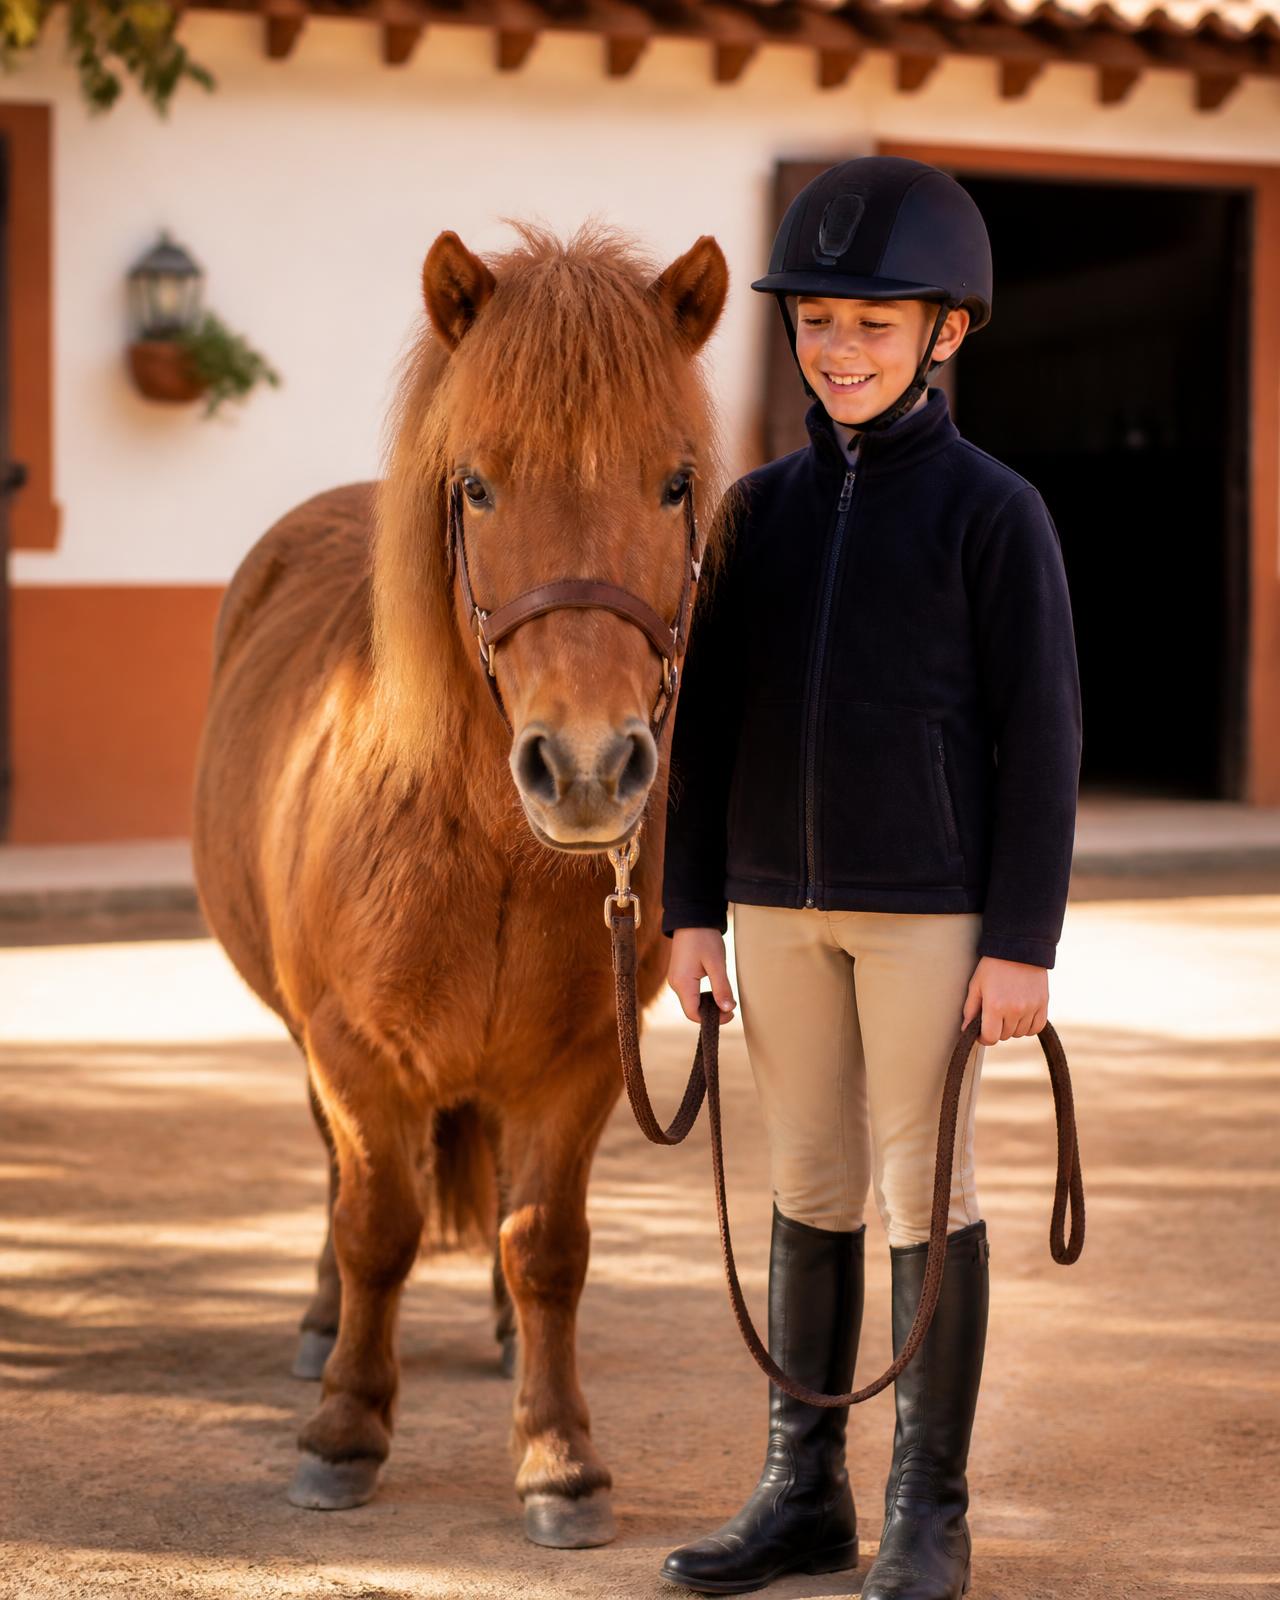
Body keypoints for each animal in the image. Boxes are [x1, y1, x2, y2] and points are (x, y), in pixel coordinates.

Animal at [191, 219, 730, 1548]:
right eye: (476, 485)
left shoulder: (579, 1060)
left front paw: (559, 1459)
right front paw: (344, 1428)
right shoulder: (348, 1050)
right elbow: (375, 1224)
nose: (585, 766)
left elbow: (547, 1245)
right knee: (340, 1184)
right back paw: (322, 1321)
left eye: (674, 482)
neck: (479, 844)